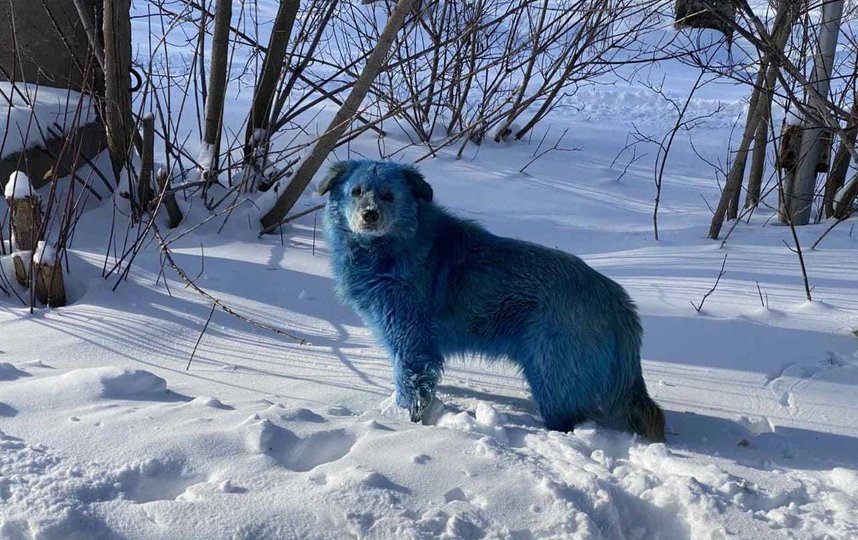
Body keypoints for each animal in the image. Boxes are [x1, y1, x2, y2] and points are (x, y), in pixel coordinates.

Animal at [320, 158, 664, 440]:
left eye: (389, 195)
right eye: (356, 191)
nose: (369, 215)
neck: (396, 247)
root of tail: (618, 302)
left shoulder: (411, 343)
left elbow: (411, 387)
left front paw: (404, 423)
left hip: (551, 375)